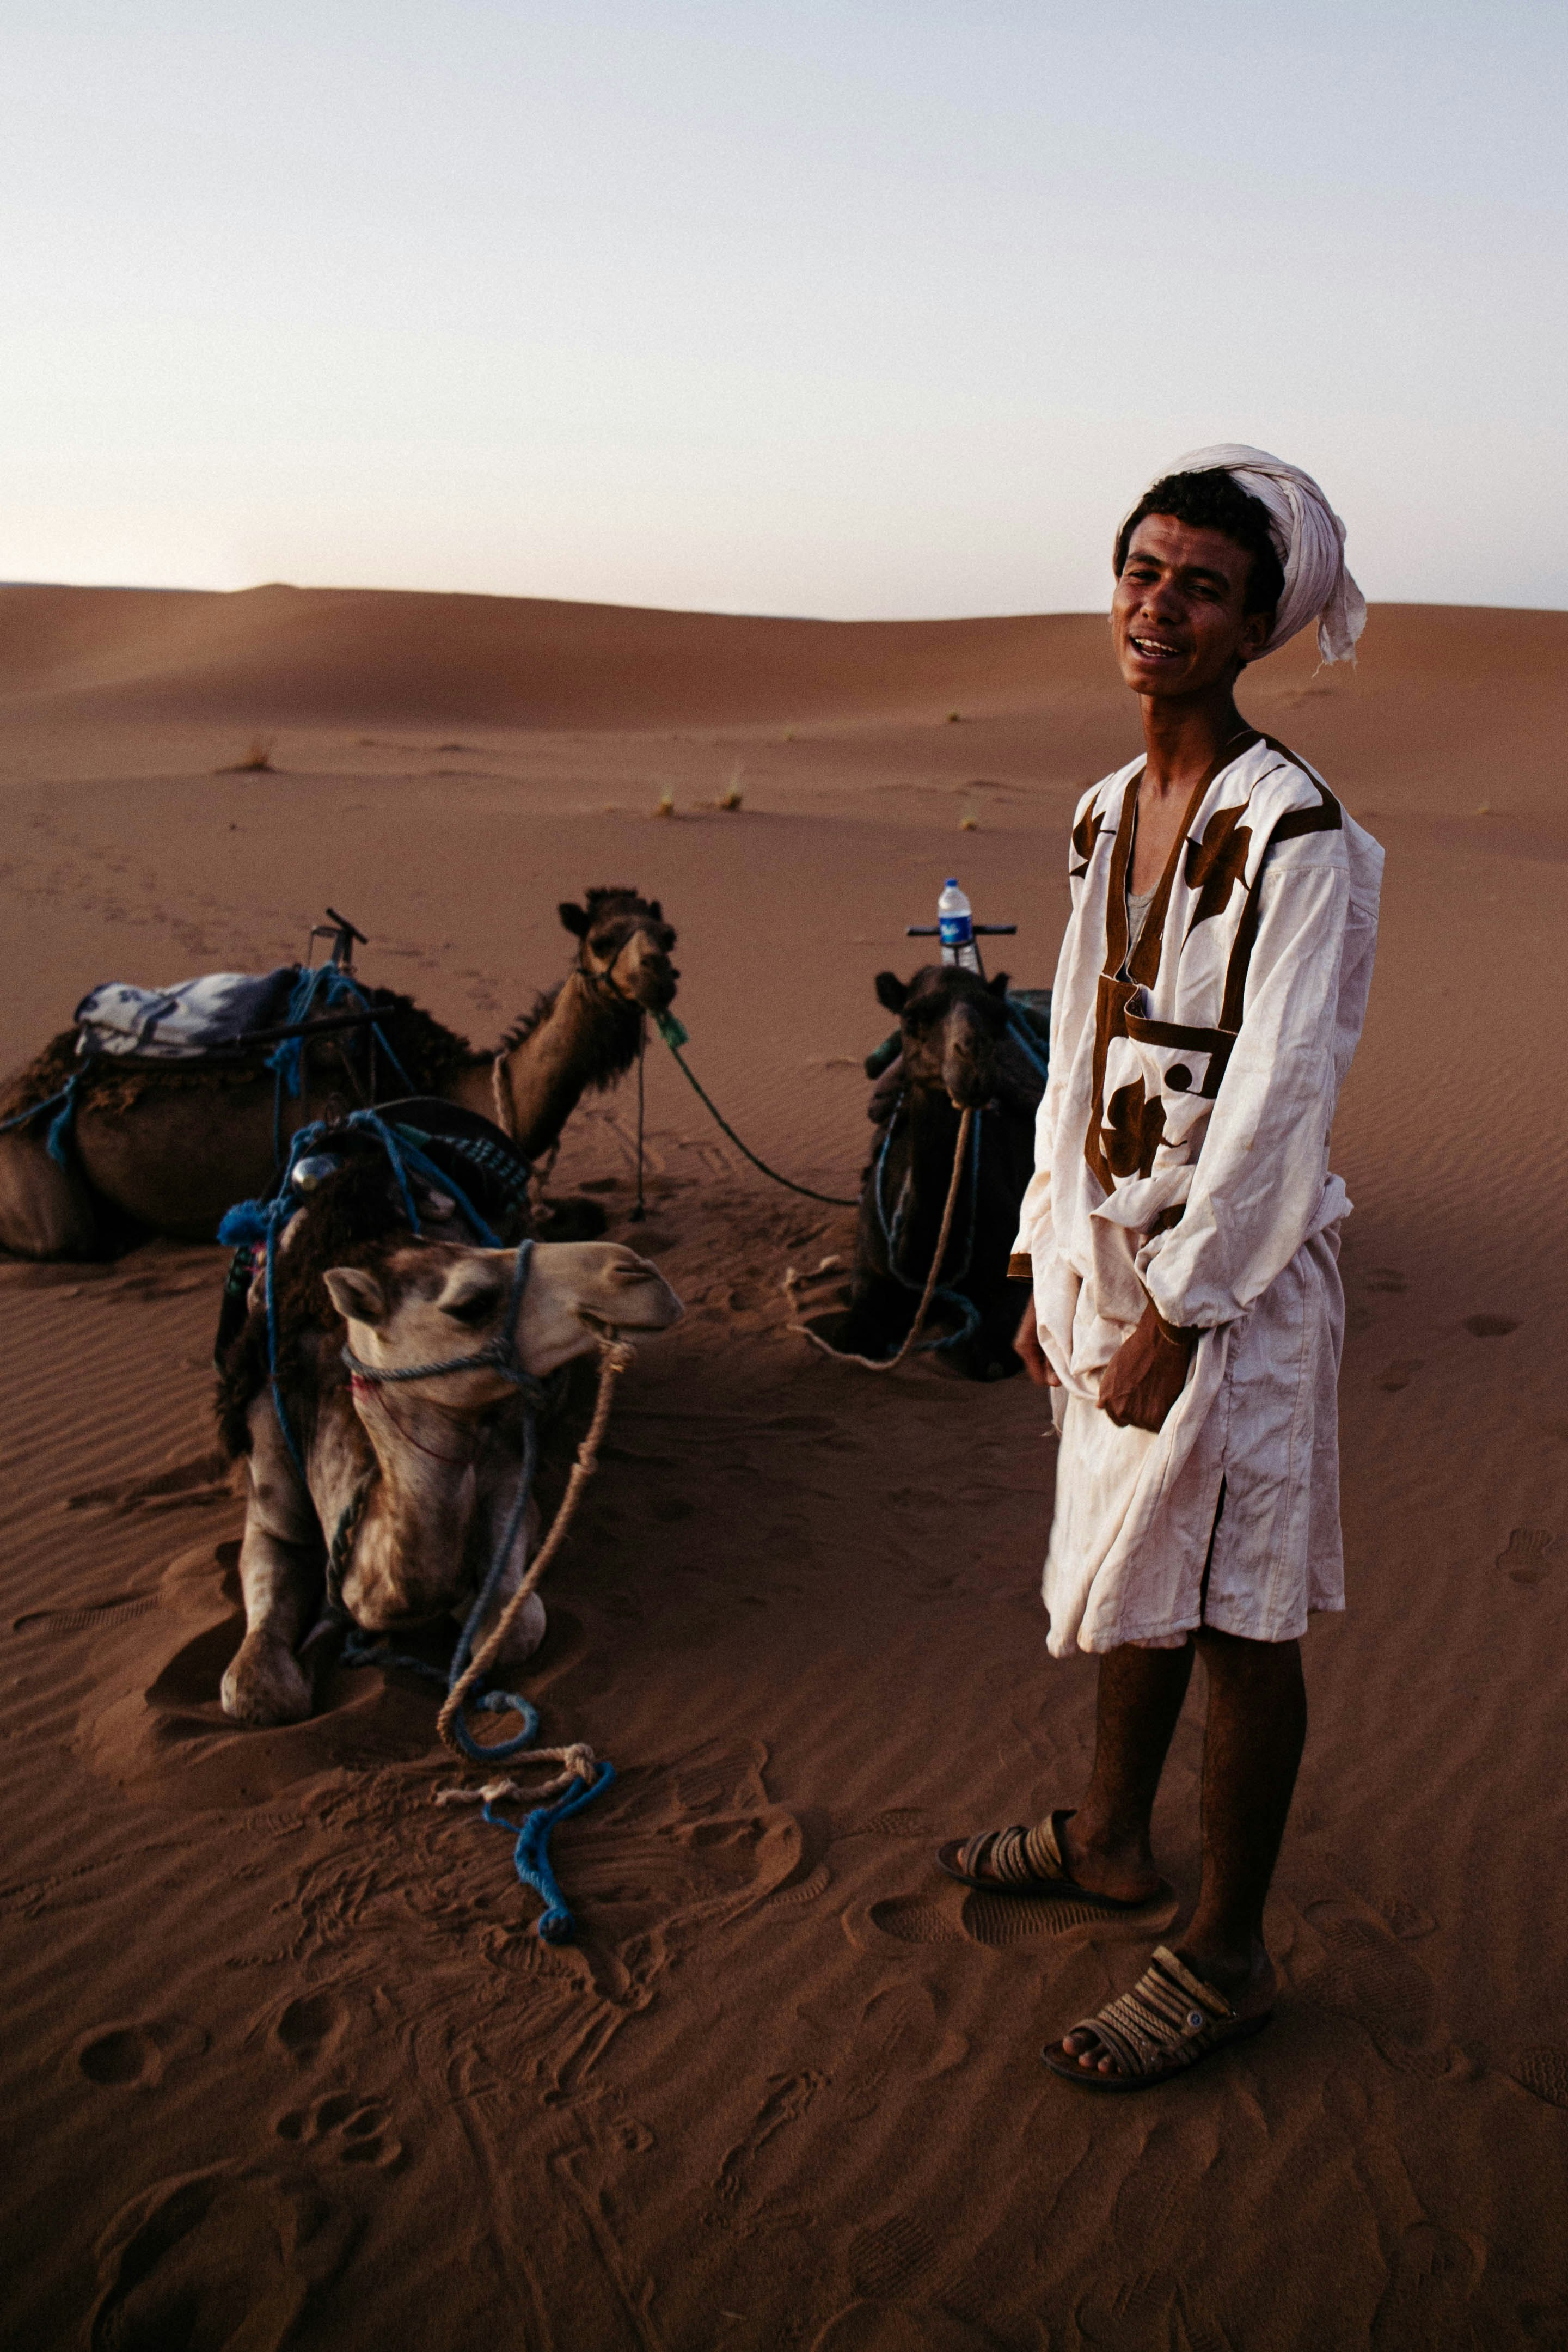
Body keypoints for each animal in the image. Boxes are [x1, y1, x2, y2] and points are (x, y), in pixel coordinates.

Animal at [215, 1138, 682, 1731]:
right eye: (472, 1304)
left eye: (477, 1247)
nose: (638, 1271)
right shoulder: (270, 1488)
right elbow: (256, 1690)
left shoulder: (507, 1471)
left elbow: (514, 1627)